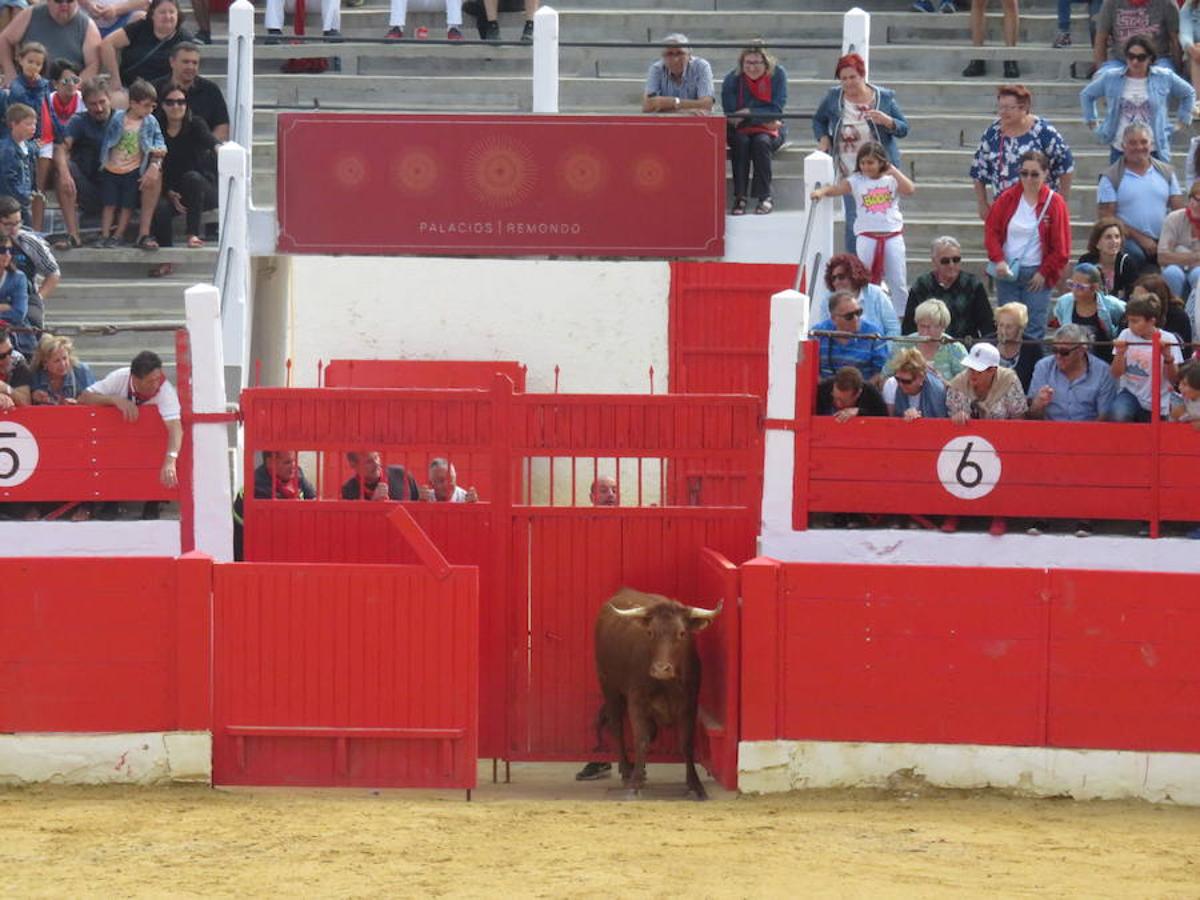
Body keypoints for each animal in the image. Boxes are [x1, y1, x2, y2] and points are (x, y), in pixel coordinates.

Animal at [592, 588, 720, 801]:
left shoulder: (689, 705)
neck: (666, 685)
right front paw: (634, 786)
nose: (661, 669)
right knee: (617, 726)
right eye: (650, 632)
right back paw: (627, 771)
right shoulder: (636, 702)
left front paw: (696, 786)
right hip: (608, 685)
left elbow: (686, 744)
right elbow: (641, 740)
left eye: (681, 633)